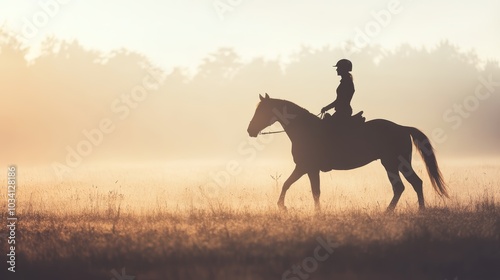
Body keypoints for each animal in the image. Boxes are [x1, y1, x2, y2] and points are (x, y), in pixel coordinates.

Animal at [248, 93, 448, 211]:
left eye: (262, 111)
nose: (250, 130)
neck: (304, 129)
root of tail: (402, 128)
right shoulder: (305, 168)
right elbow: (293, 185)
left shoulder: (308, 167)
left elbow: (309, 190)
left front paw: (291, 209)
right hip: (397, 163)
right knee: (414, 183)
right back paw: (418, 211)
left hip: (392, 163)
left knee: (402, 186)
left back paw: (390, 212)